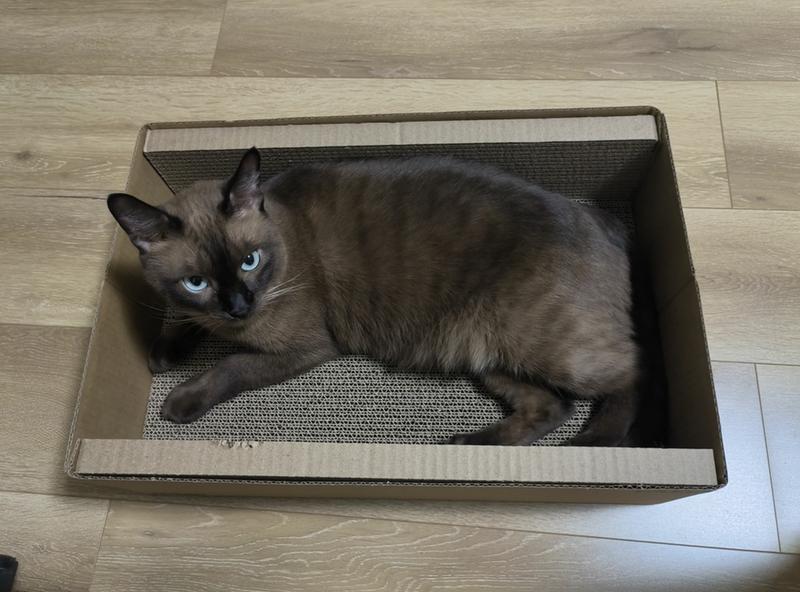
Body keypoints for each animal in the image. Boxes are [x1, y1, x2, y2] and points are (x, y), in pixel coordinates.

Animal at [108, 147, 657, 446]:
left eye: (250, 261)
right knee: (552, 408)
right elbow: (180, 320)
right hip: (490, 357)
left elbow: (230, 367)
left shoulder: (305, 347)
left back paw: (599, 439)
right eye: (196, 282)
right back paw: (470, 443)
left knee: (632, 370)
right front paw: (163, 352)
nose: (239, 307)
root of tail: (603, 220)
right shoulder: (198, 311)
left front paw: (180, 400)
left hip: (547, 346)